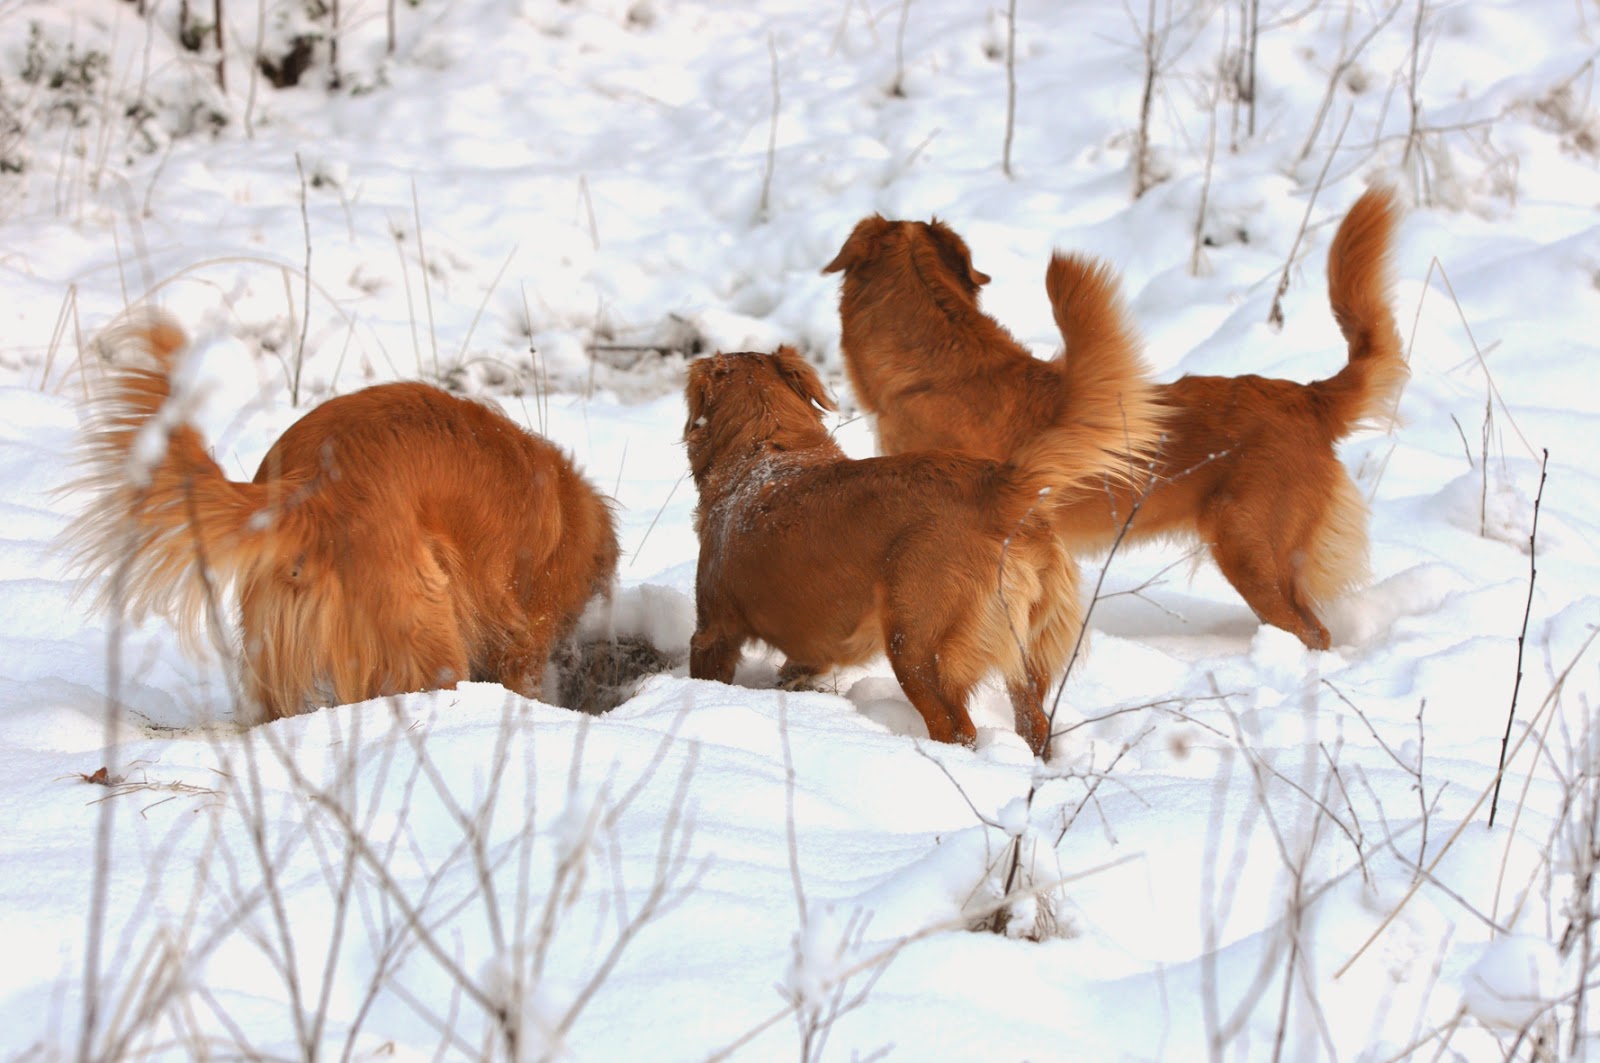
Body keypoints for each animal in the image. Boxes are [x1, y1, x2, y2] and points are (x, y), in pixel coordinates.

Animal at [684, 268, 1159, 758]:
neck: (767, 447)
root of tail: (999, 488)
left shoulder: (713, 627)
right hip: (1025, 655)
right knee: (1034, 723)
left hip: (916, 648)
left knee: (957, 728)